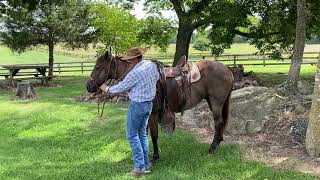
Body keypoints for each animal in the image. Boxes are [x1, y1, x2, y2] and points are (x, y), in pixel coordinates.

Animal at [86, 51, 234, 160]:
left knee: (218, 123)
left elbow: (153, 134)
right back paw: (218, 142)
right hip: (212, 101)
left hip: (216, 102)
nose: (89, 86)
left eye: (98, 67)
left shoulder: (153, 114)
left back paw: (212, 149)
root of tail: (227, 68)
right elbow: (144, 133)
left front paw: (156, 156)